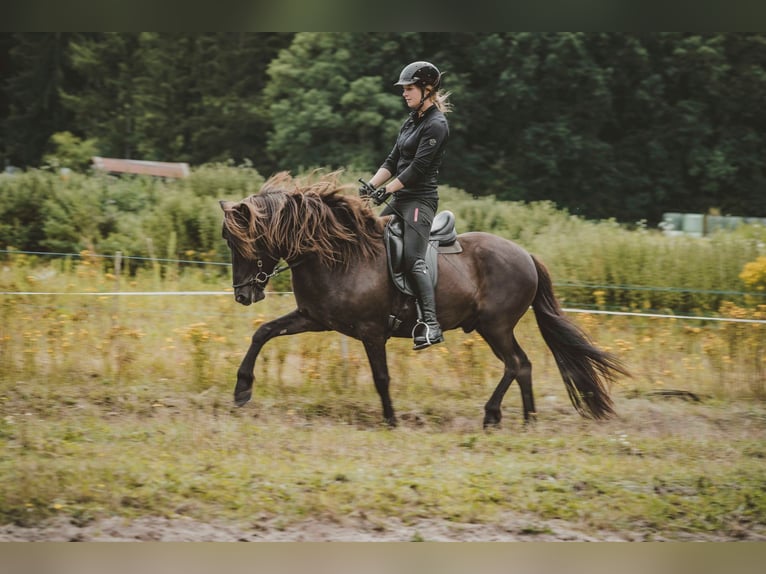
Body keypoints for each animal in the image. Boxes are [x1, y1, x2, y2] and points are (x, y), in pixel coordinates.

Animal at [220, 173, 632, 430]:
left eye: (242, 242)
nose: (243, 294)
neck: (338, 254)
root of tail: (526, 255)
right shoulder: (314, 318)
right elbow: (263, 333)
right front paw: (242, 390)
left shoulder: (371, 332)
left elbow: (381, 377)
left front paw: (390, 420)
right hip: (492, 328)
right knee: (523, 366)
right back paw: (525, 419)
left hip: (495, 326)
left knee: (516, 364)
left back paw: (494, 415)